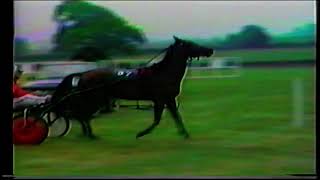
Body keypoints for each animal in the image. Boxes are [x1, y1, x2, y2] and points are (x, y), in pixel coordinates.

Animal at [50, 36, 215, 139]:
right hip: (95, 98)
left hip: (97, 99)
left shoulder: (169, 99)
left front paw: (185, 134)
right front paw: (140, 134)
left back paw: (87, 133)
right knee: (82, 114)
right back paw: (89, 134)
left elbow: (177, 117)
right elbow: (157, 120)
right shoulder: (160, 100)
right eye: (190, 44)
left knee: (81, 114)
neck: (163, 73)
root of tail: (84, 73)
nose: (210, 50)